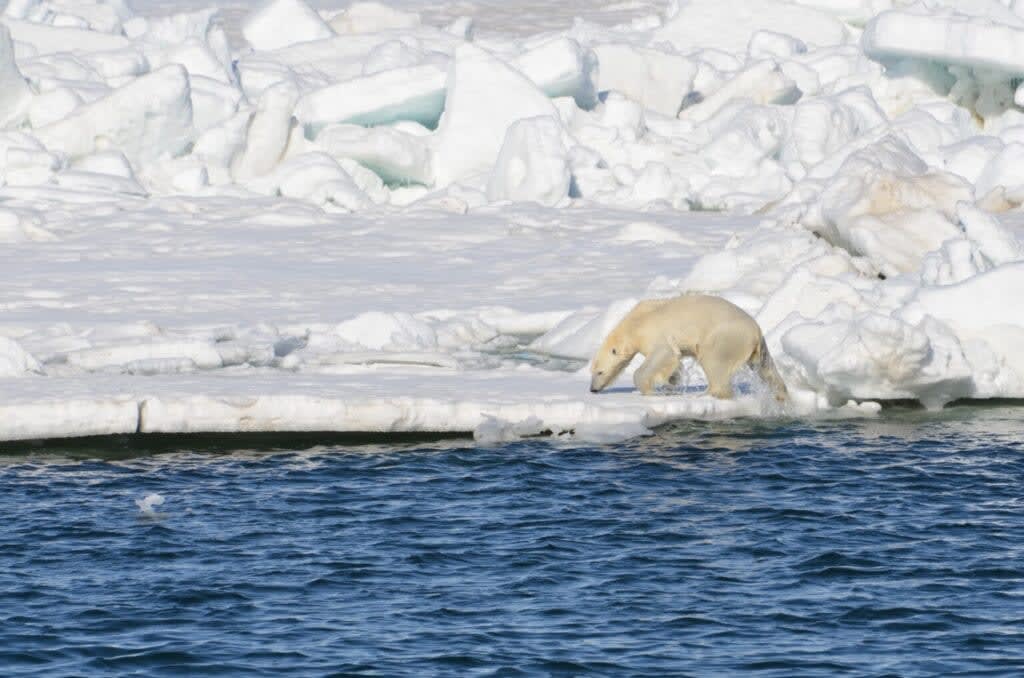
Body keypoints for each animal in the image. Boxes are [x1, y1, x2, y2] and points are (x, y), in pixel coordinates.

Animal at [589, 294, 788, 401]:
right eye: (592, 372)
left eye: (599, 372)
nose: (593, 389)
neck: (635, 323)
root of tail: (755, 331)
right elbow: (674, 364)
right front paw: (671, 384)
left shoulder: (655, 334)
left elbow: (664, 354)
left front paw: (650, 390)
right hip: (758, 347)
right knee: (766, 368)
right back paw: (781, 394)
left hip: (726, 336)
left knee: (712, 360)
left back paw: (706, 394)